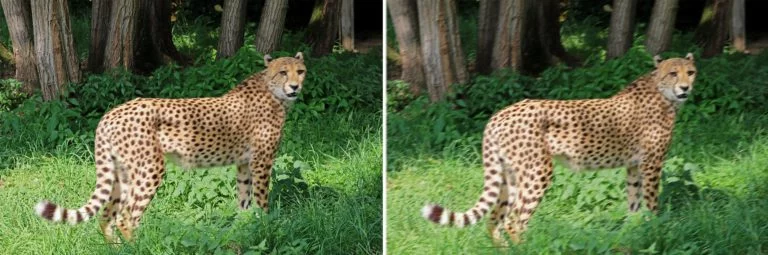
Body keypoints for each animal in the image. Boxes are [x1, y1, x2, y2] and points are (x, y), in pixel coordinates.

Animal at [35, 51, 306, 243]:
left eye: (300, 71)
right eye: (283, 72)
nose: (295, 86)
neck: (272, 91)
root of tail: (111, 114)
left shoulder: (243, 163)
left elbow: (244, 199)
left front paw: (243, 228)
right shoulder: (261, 161)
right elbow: (262, 200)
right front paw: (266, 226)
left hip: (122, 172)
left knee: (106, 216)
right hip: (150, 168)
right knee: (125, 217)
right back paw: (137, 248)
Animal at [420, 53, 696, 245]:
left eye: (691, 72)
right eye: (673, 73)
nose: (686, 88)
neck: (662, 92)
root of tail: (500, 114)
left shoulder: (634, 165)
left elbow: (634, 201)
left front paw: (633, 230)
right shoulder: (651, 164)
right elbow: (651, 202)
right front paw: (656, 228)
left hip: (509, 175)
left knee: (495, 220)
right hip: (538, 171)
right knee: (514, 221)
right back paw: (526, 249)